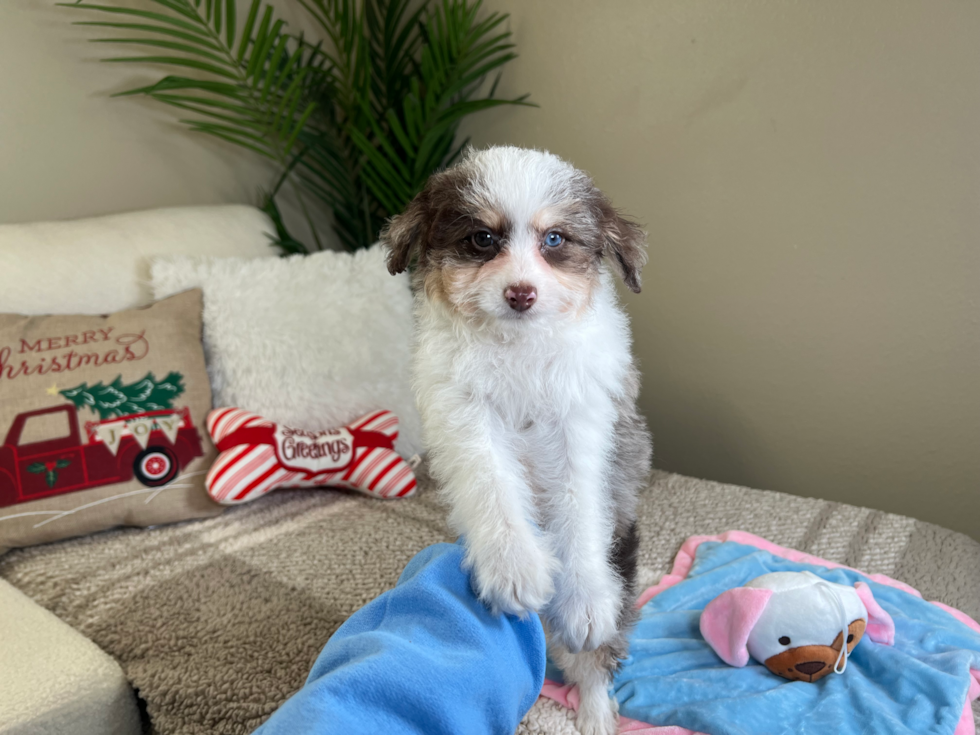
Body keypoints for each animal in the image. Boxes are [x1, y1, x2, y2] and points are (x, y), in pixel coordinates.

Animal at [382, 145, 652, 735]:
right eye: (483, 238)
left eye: (554, 240)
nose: (521, 293)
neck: (519, 347)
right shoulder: (463, 416)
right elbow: (492, 486)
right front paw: (512, 568)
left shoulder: (587, 426)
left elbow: (580, 507)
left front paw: (585, 598)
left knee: (593, 664)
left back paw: (595, 712)